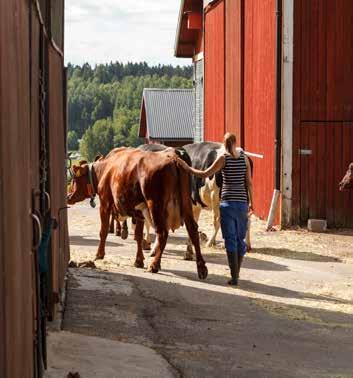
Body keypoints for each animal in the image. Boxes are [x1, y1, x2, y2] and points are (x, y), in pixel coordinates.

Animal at [66, 149, 206, 280]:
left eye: (74, 179)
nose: (68, 197)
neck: (105, 169)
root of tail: (173, 157)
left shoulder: (105, 204)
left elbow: (103, 231)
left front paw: (99, 254)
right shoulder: (139, 212)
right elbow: (138, 236)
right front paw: (138, 260)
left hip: (155, 205)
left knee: (162, 233)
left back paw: (154, 265)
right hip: (186, 203)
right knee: (193, 230)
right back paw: (201, 268)